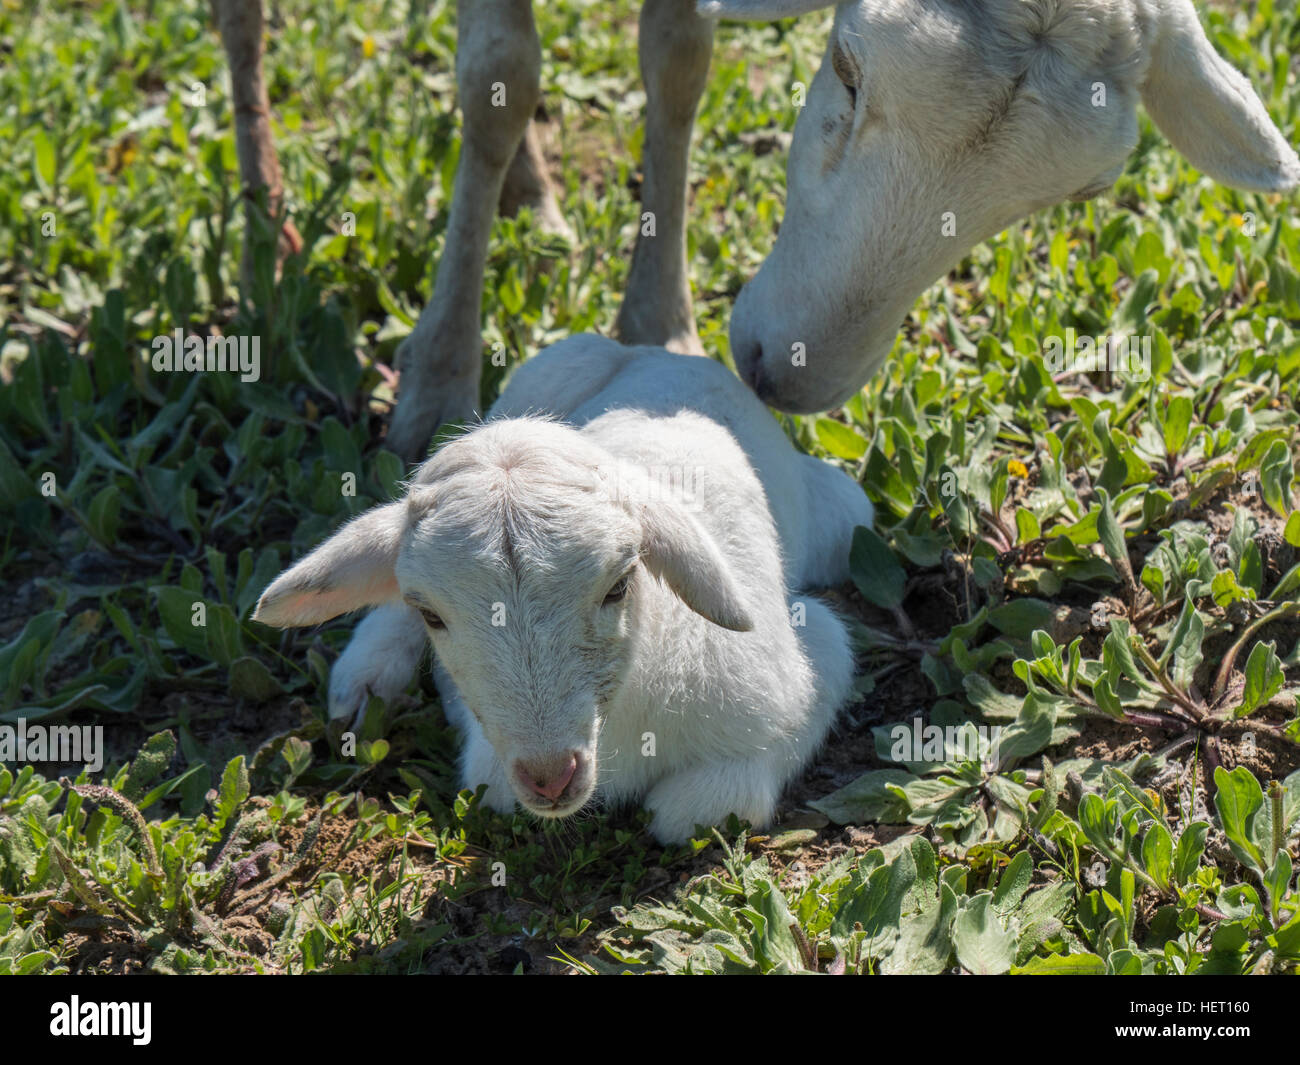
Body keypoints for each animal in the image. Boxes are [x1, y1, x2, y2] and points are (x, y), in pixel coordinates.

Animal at [253, 336, 873, 842]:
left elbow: (696, 810)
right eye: (431, 615)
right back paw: (365, 680)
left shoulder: (798, 665)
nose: (550, 777)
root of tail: (659, 353)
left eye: (618, 586)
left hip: (846, 516)